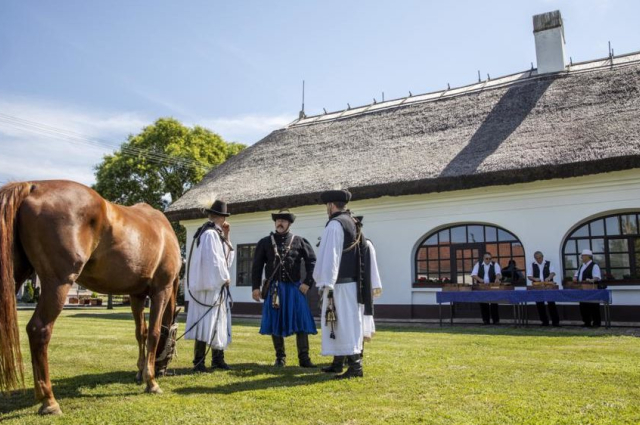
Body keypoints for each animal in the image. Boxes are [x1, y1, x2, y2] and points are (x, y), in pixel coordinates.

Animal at [0, 180, 180, 414]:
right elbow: (154, 333)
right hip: (58, 283)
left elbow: (140, 332)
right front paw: (151, 382)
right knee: (39, 330)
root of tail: (34, 186)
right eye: (173, 344)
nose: (161, 370)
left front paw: (141, 372)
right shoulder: (161, 291)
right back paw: (49, 401)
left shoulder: (136, 295)